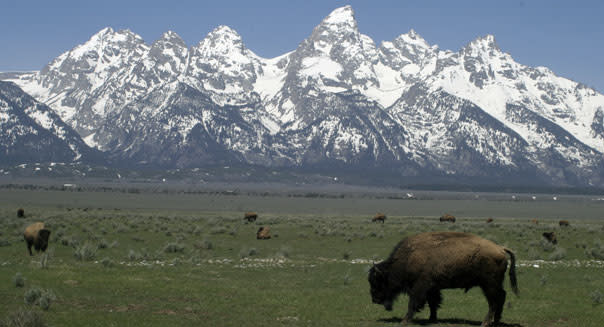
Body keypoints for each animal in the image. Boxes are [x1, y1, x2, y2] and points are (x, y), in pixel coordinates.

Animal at [368, 232, 520, 326]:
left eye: (377, 281)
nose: (374, 299)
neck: (408, 258)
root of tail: (501, 248)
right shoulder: (432, 289)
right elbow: (433, 303)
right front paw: (432, 319)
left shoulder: (419, 288)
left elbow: (413, 303)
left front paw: (404, 321)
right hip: (494, 285)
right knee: (501, 297)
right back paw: (496, 321)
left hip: (489, 285)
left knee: (493, 302)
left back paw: (486, 322)